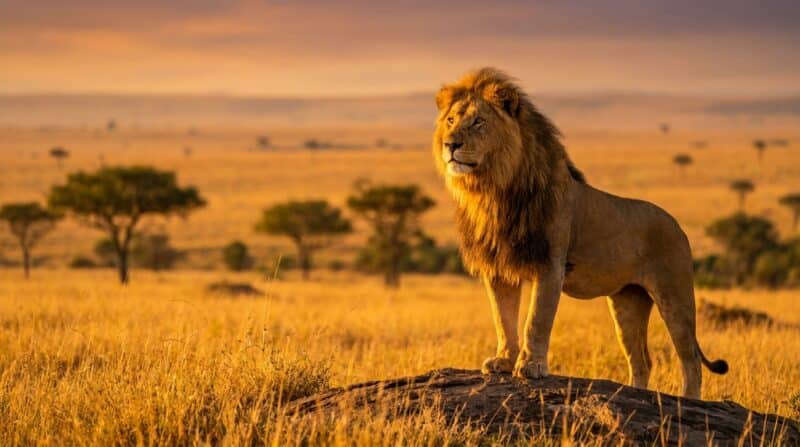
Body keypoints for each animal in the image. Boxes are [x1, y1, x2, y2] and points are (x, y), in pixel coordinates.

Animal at [432, 67, 727, 399]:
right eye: (451, 121)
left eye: (478, 122)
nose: (450, 145)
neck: (493, 190)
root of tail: (677, 225)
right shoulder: (497, 267)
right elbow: (502, 317)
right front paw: (504, 361)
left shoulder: (550, 263)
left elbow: (536, 319)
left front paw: (531, 366)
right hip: (628, 302)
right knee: (642, 360)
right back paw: (634, 393)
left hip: (674, 295)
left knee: (690, 358)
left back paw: (688, 400)